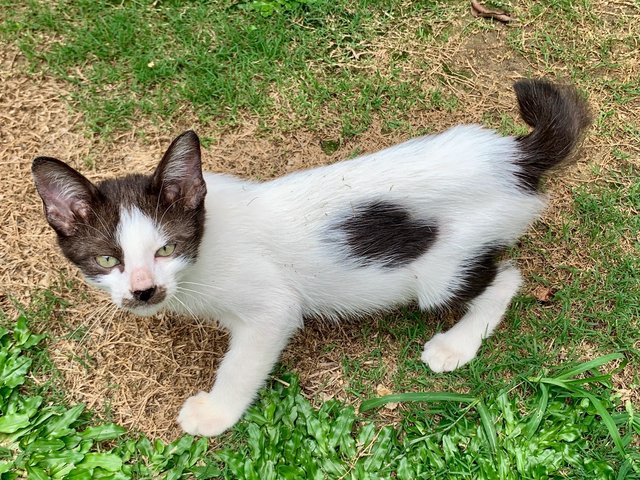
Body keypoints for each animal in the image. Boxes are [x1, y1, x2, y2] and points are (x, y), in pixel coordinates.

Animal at [30, 78, 592, 436]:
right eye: (108, 260)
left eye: (166, 247)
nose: (144, 290)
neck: (206, 246)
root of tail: (514, 157)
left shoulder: (270, 308)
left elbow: (245, 360)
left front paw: (214, 415)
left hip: (444, 267)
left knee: (506, 277)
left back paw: (456, 345)